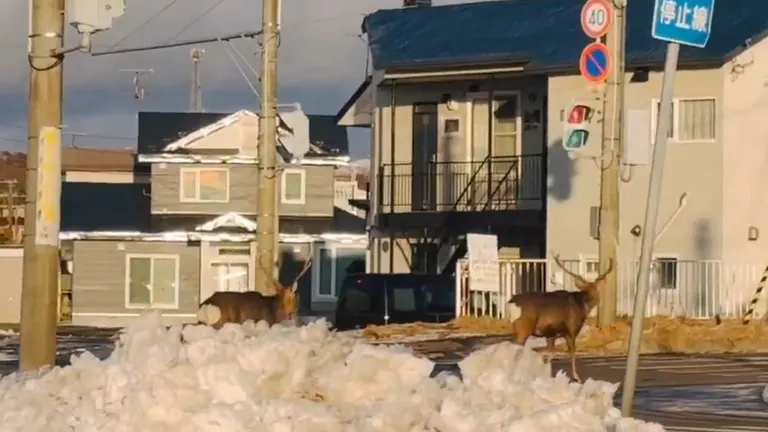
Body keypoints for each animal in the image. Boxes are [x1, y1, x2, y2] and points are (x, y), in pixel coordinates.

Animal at [508, 253, 616, 382]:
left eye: (595, 288)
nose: (596, 300)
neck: (581, 303)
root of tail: (512, 302)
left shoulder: (551, 334)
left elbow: (550, 354)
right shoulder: (571, 330)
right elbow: (572, 353)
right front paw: (576, 377)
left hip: (516, 328)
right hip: (524, 327)